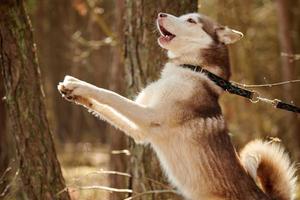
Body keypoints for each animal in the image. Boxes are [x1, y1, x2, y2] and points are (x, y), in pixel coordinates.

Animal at [57, 12, 296, 200]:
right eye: (182, 16)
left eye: (190, 20)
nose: (160, 14)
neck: (192, 69)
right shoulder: (141, 132)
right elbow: (103, 107)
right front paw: (74, 92)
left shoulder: (148, 116)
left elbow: (109, 95)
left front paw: (79, 85)